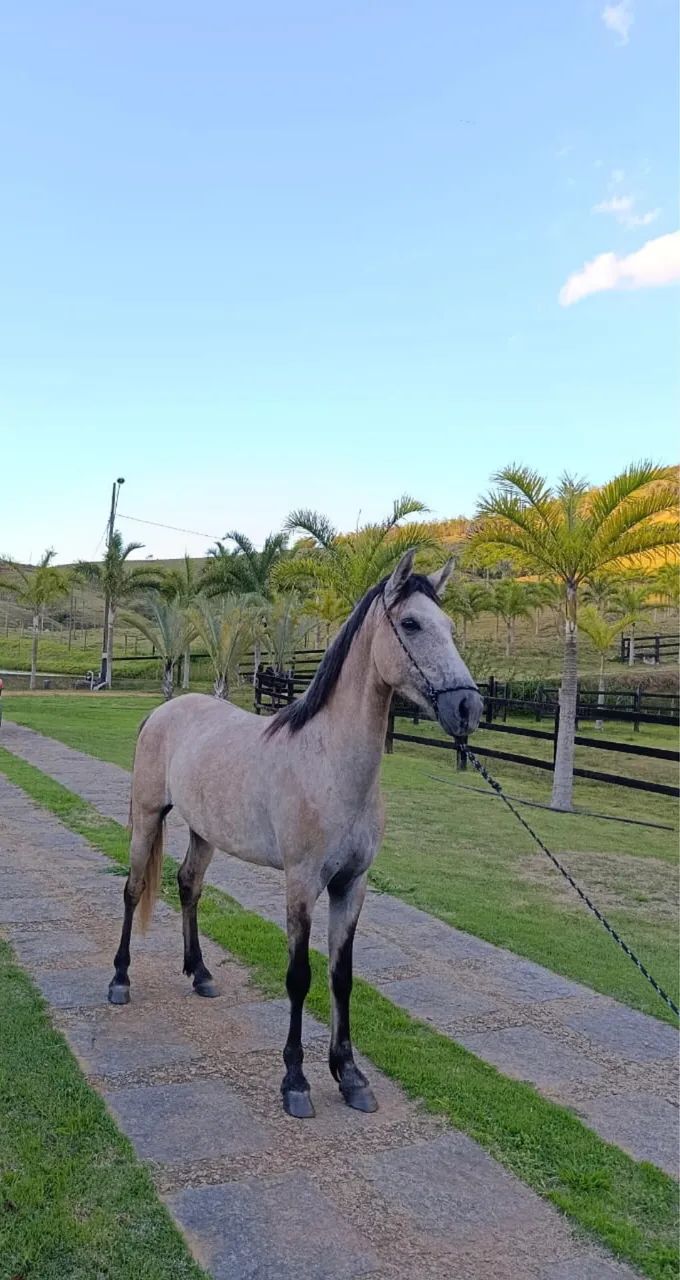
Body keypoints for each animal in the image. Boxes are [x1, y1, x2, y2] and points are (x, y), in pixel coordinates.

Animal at [108, 549, 483, 1118]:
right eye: (412, 625)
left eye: (450, 627)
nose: (468, 708)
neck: (328, 763)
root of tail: (164, 709)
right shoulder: (302, 883)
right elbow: (299, 976)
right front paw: (296, 1082)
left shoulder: (352, 885)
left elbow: (341, 976)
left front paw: (349, 1076)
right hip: (149, 818)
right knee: (133, 891)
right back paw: (120, 980)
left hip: (204, 832)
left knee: (189, 886)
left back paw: (201, 975)